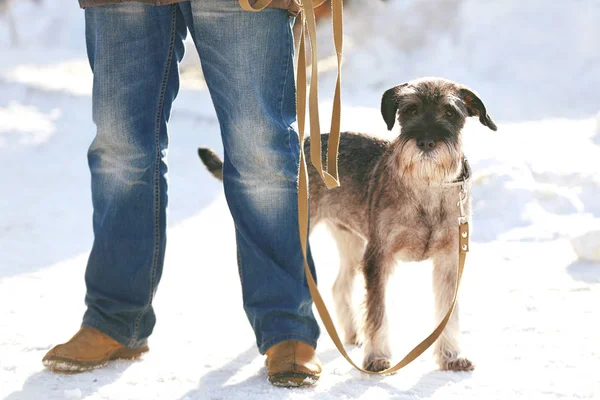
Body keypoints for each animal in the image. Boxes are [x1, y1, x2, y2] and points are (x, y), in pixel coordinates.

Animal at [197, 77, 496, 372]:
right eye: (410, 110)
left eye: (450, 112)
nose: (425, 142)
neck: (427, 186)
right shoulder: (379, 258)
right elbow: (377, 312)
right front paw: (376, 358)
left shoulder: (448, 260)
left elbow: (448, 313)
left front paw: (451, 356)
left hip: (352, 243)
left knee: (339, 285)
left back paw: (352, 332)